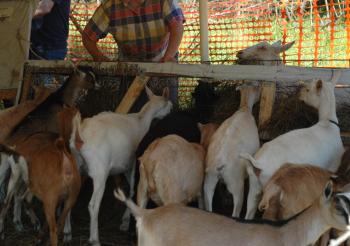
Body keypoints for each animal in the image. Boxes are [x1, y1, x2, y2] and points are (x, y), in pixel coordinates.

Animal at [69, 87, 172, 246]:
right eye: (169, 105)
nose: (172, 107)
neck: (141, 120)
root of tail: (80, 133)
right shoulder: (132, 164)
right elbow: (131, 191)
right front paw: (125, 221)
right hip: (100, 172)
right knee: (93, 205)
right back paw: (95, 239)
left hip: (75, 168)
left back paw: (67, 233)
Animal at [202, 84, 260, 217]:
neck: (244, 108)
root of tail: (218, 163)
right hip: (236, 184)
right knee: (235, 212)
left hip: (209, 181)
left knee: (209, 206)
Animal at [242, 71, 344, 219]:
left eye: (308, 89)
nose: (299, 93)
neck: (328, 124)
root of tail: (258, 163)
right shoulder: (332, 167)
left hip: (254, 185)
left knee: (249, 210)